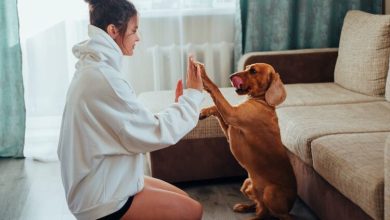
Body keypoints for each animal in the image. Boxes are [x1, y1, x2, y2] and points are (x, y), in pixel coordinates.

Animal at [200, 62, 298, 219]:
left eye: (253, 71)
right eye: (246, 68)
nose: (231, 76)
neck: (263, 101)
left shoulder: (231, 114)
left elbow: (215, 90)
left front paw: (203, 76)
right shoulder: (229, 129)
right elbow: (216, 107)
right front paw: (204, 112)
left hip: (270, 192)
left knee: (272, 214)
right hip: (246, 184)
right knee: (260, 207)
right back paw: (245, 207)